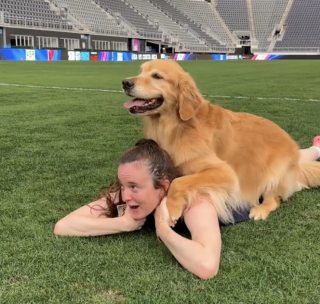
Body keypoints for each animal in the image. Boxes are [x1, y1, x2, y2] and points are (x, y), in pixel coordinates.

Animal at [120, 60, 320, 226]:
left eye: (157, 76)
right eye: (140, 71)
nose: (125, 83)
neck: (177, 126)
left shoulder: (224, 172)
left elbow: (180, 181)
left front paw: (173, 209)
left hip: (273, 172)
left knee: (274, 199)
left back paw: (260, 210)